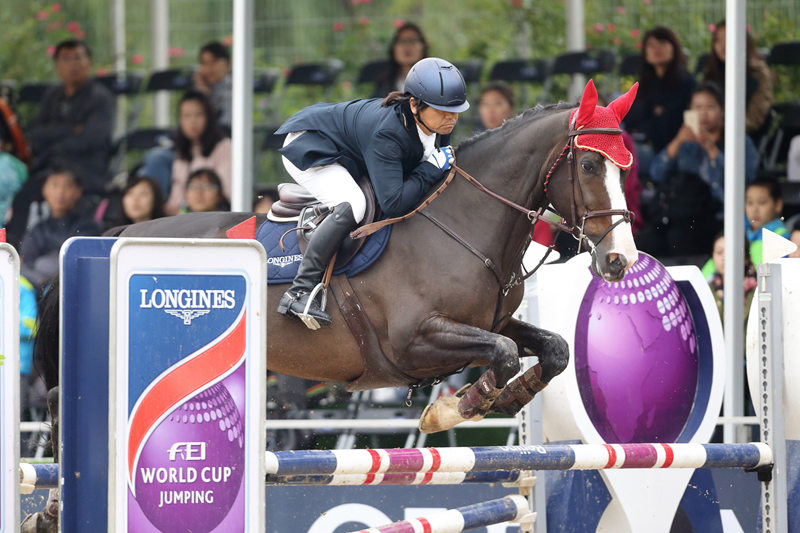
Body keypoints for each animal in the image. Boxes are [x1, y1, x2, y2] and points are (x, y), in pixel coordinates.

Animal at [34, 80, 640, 436]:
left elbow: (551, 349)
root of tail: (118, 231)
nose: (619, 262)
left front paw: (504, 399)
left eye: (626, 167)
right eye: (590, 165)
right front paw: (453, 409)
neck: (464, 222)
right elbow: (505, 352)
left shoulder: (487, 320)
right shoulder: (414, 341)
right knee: (68, 397)